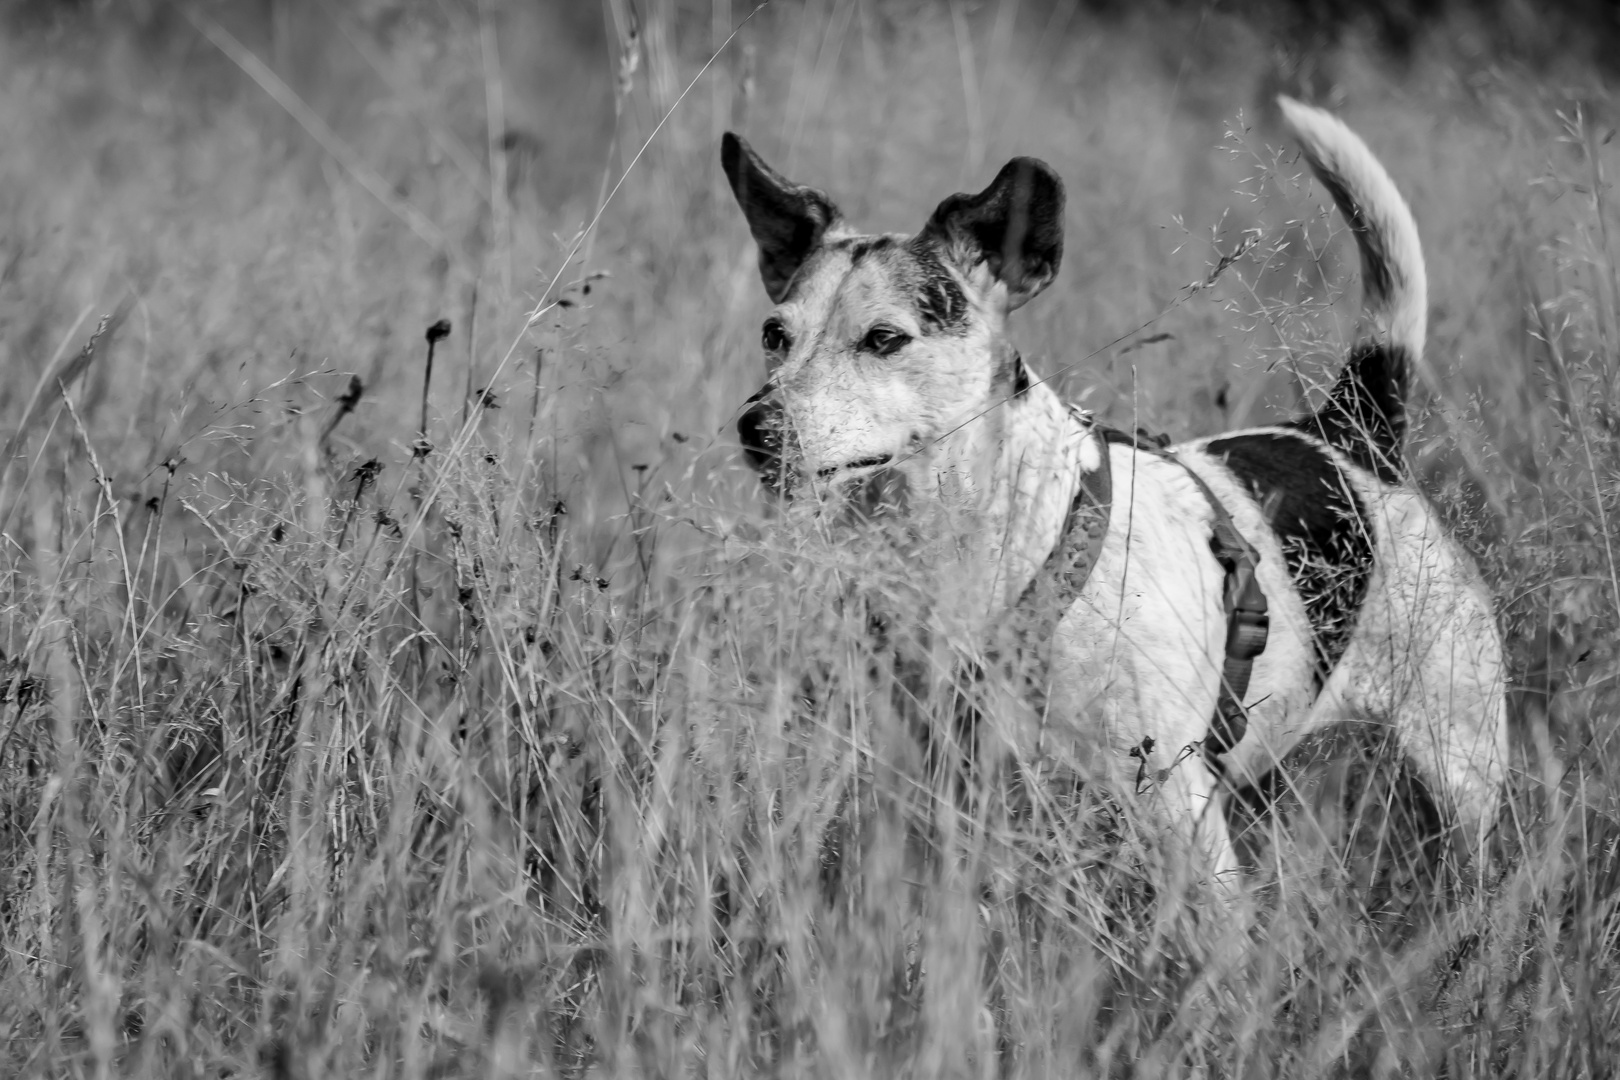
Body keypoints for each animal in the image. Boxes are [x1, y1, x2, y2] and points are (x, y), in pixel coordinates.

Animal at [722, 97, 1503, 893]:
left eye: (884, 339)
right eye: (774, 334)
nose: (755, 427)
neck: (1012, 543)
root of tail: (1350, 428)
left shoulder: (1180, 816)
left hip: (1460, 764)